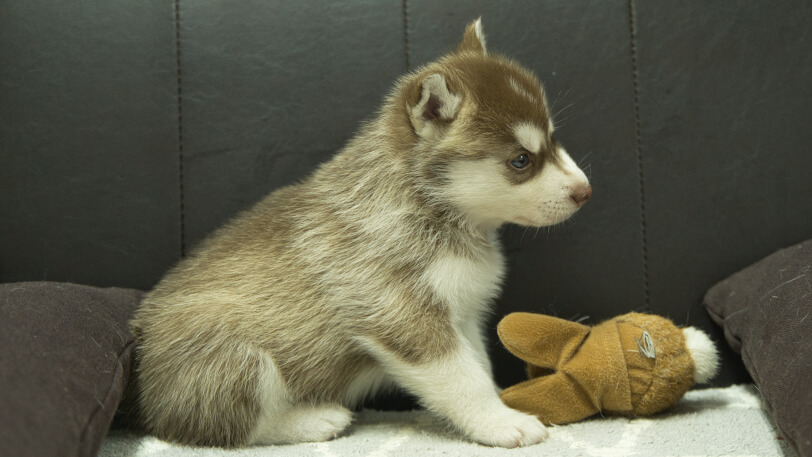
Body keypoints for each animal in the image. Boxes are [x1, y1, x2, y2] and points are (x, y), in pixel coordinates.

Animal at [130, 19, 592, 448]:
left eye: (553, 139)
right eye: (520, 160)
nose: (586, 191)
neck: (430, 207)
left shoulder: (464, 315)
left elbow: (479, 366)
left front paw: (502, 403)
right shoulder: (400, 313)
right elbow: (464, 380)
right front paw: (501, 422)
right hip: (234, 356)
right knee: (222, 427)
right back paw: (310, 420)